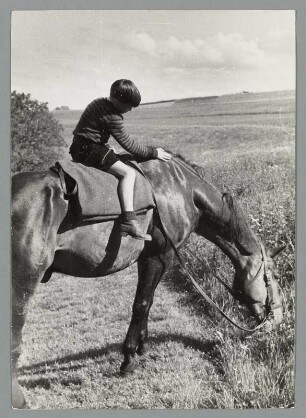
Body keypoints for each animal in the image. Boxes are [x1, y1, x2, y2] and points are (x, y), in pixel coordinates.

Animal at [11, 154, 284, 408]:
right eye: (274, 276)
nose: (279, 318)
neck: (182, 189)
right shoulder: (160, 256)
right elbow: (141, 303)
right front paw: (129, 357)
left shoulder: (151, 259)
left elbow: (148, 301)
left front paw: (141, 345)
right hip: (23, 281)